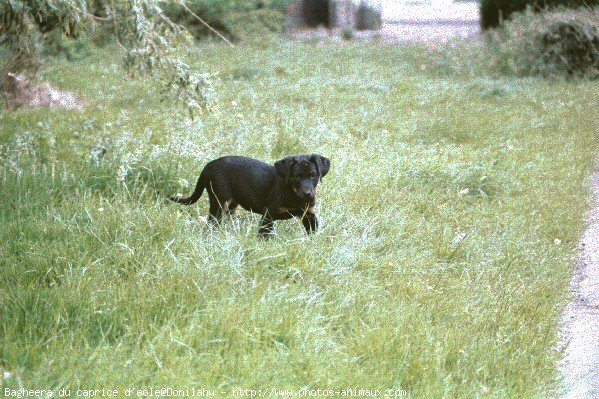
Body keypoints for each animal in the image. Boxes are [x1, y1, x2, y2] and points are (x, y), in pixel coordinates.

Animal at [170, 155, 332, 238]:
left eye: (313, 175)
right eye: (297, 176)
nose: (308, 194)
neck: (294, 195)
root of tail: (207, 167)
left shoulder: (309, 215)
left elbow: (313, 234)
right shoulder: (268, 214)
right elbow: (264, 234)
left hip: (231, 204)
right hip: (220, 201)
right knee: (212, 223)